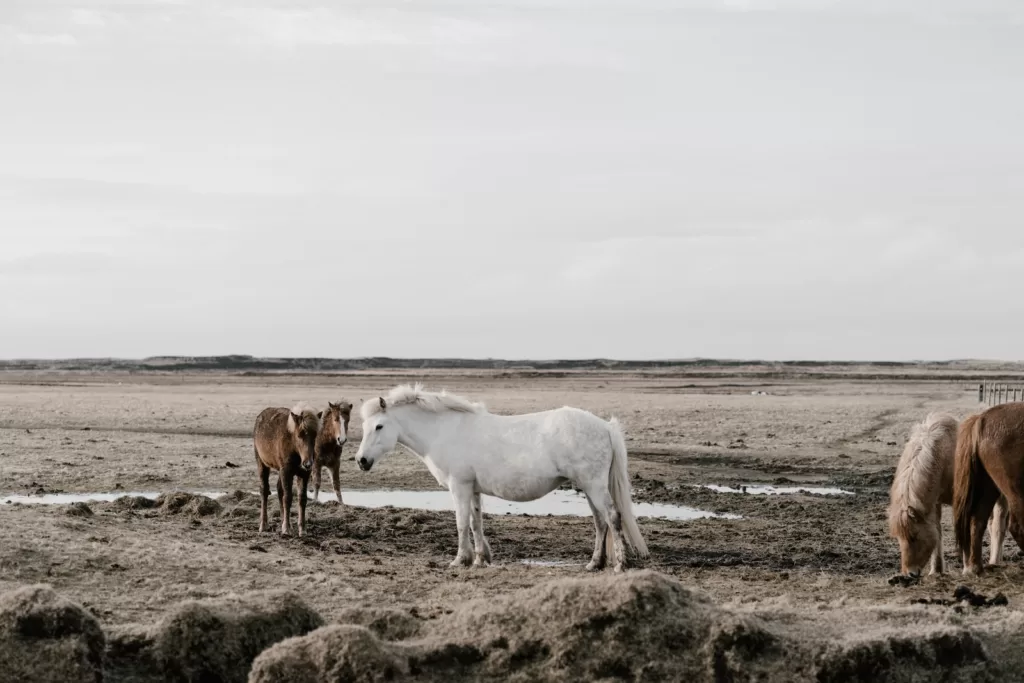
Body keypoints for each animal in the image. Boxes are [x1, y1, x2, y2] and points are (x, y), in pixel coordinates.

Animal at [251, 401, 319, 540]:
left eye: (315, 435)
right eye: (300, 434)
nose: (308, 463)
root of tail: (260, 415)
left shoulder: (303, 474)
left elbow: (302, 499)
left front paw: (302, 529)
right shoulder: (287, 471)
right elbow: (287, 498)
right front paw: (286, 529)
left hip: (280, 469)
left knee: (279, 490)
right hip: (262, 463)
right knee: (264, 490)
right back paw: (263, 525)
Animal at [352, 385, 647, 573]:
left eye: (379, 426)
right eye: (365, 427)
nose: (361, 460)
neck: (444, 430)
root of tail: (605, 426)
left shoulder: (459, 487)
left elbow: (461, 523)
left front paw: (460, 560)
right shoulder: (473, 489)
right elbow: (476, 523)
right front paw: (480, 559)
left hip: (594, 486)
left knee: (612, 517)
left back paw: (620, 564)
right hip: (588, 488)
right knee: (600, 523)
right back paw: (595, 563)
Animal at [888, 411, 1007, 581]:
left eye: (914, 536)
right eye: (899, 538)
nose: (909, 574)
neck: (945, 456)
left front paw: (967, 569)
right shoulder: (935, 504)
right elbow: (938, 532)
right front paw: (936, 570)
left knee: (998, 526)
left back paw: (994, 562)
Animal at [950, 403, 1024, 573]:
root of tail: (982, 418)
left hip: (989, 487)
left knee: (978, 520)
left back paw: (976, 567)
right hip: (1016, 490)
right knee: (1017, 526)